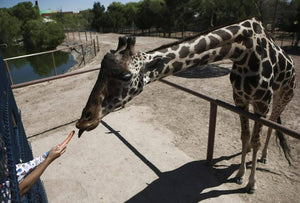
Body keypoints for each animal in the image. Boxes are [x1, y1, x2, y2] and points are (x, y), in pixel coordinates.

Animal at [76, 17, 296, 193]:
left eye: (126, 76)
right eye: (100, 70)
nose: (83, 121)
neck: (243, 53)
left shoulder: (261, 102)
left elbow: (256, 139)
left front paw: (251, 184)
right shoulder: (239, 100)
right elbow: (244, 137)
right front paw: (241, 175)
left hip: (282, 96)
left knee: (273, 123)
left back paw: (264, 157)